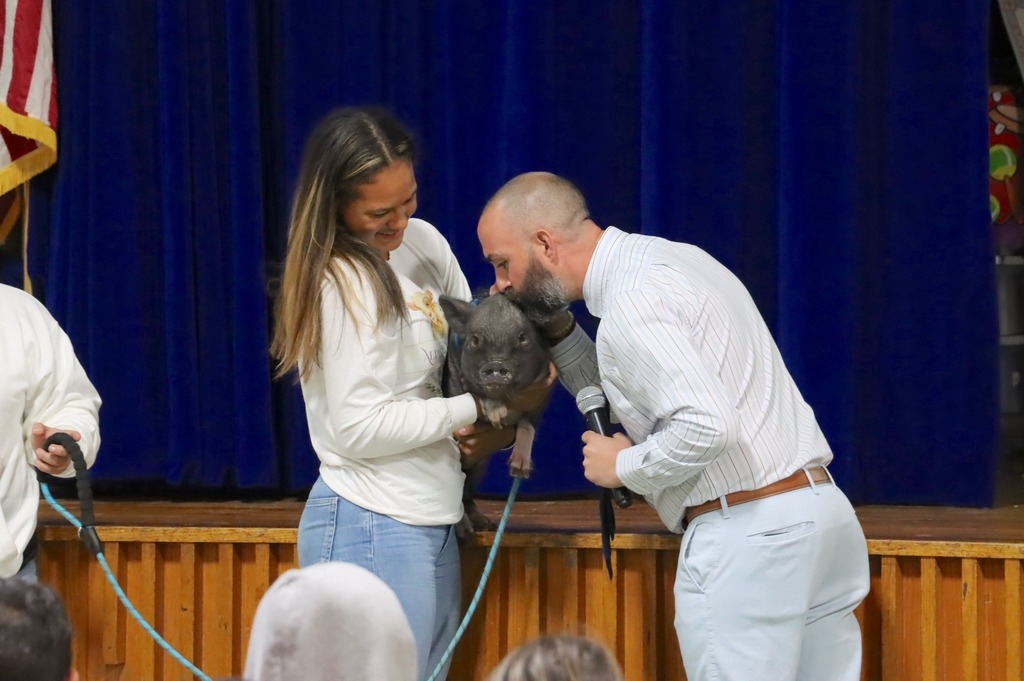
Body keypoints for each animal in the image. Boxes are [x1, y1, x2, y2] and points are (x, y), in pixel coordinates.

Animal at [440, 292, 552, 536]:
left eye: (522, 337)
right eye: (474, 339)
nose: (496, 365)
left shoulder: (541, 397)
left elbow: (527, 426)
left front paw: (520, 470)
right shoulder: (458, 379)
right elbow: (478, 393)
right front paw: (498, 416)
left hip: (481, 464)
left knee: (467, 494)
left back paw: (485, 526)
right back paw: (466, 531)